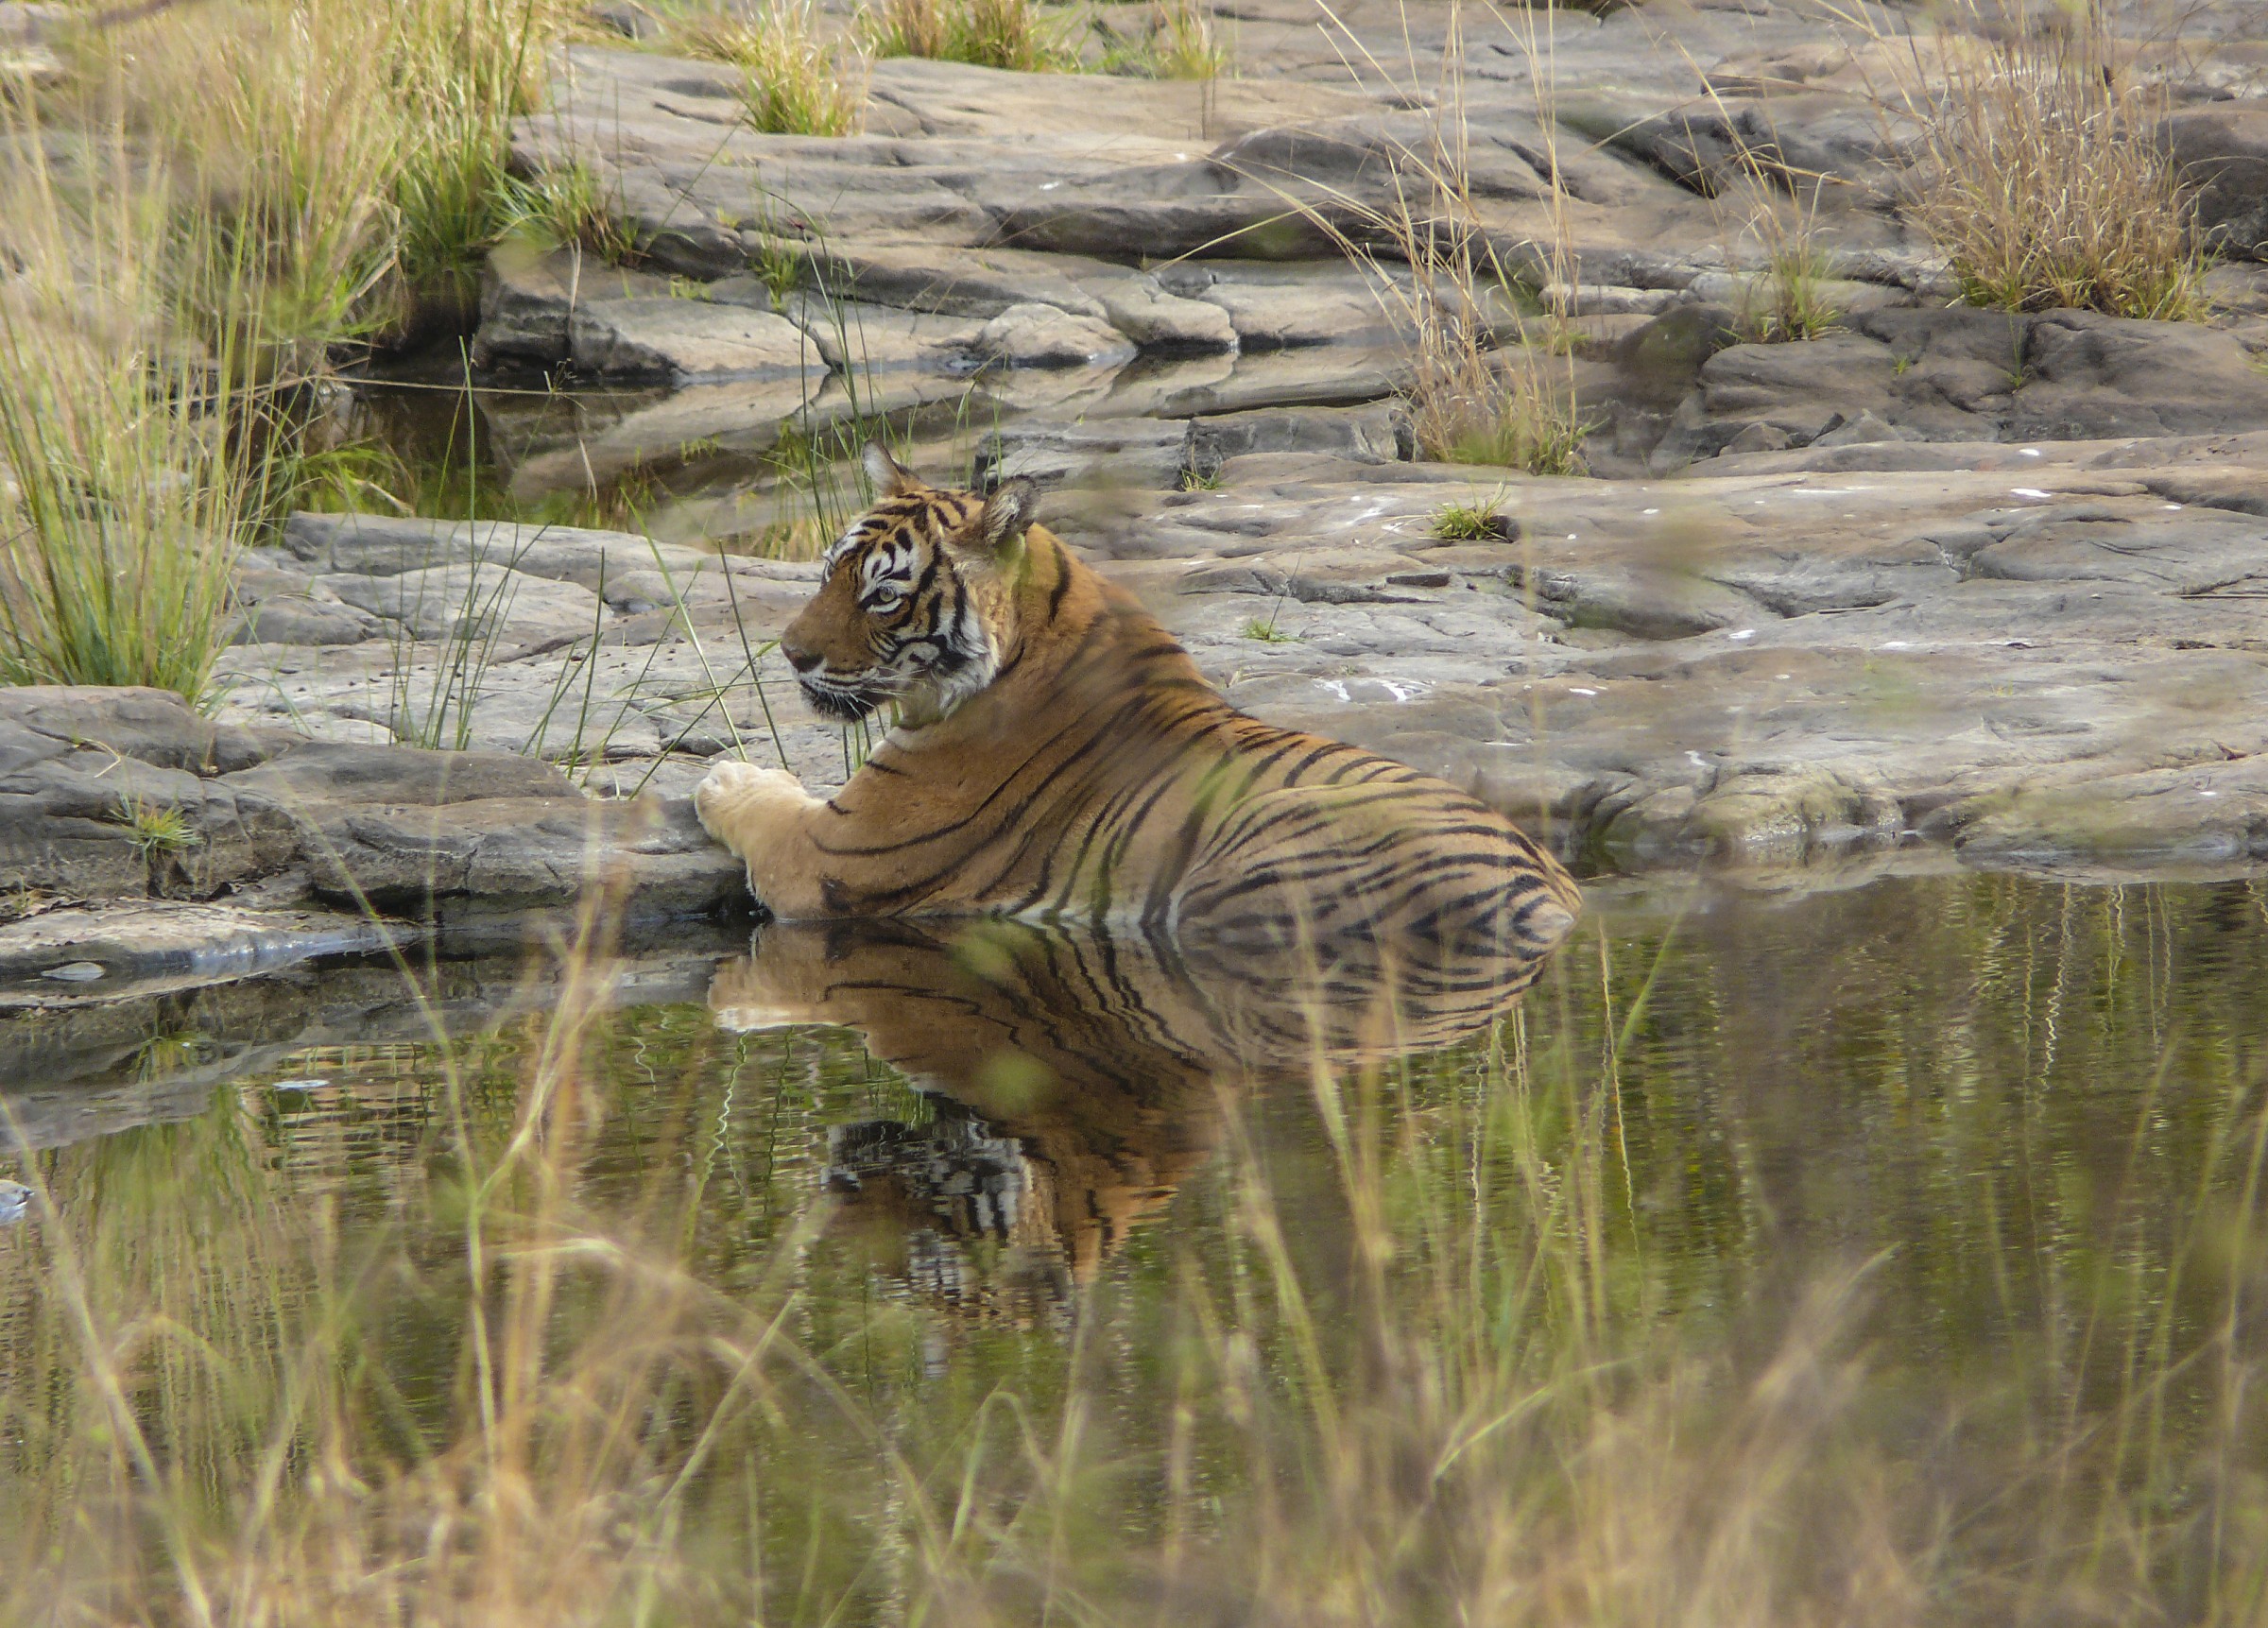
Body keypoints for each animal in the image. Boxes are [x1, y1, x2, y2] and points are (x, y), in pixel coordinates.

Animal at [694, 443, 1581, 957]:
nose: (790, 654)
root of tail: (1549, 903)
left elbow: (766, 810)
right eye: (827, 573)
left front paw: (723, 778)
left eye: (881, 595)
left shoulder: (827, 855)